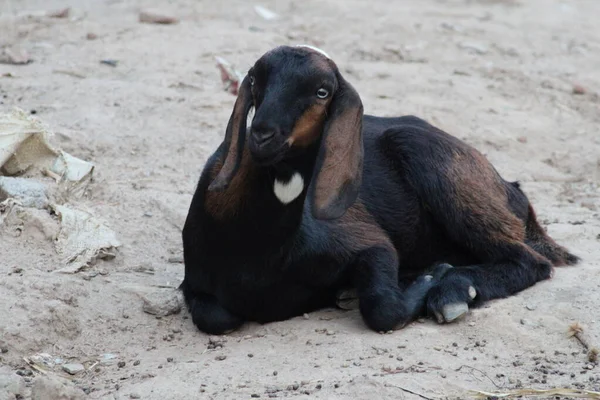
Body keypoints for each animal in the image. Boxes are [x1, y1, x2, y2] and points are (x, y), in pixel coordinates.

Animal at [180, 45, 580, 336]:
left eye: (322, 92)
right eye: (256, 81)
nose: (263, 135)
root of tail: (511, 189)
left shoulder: (367, 240)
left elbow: (384, 309)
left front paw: (432, 279)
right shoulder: (196, 285)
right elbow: (217, 318)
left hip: (435, 165)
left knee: (530, 261)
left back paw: (452, 290)